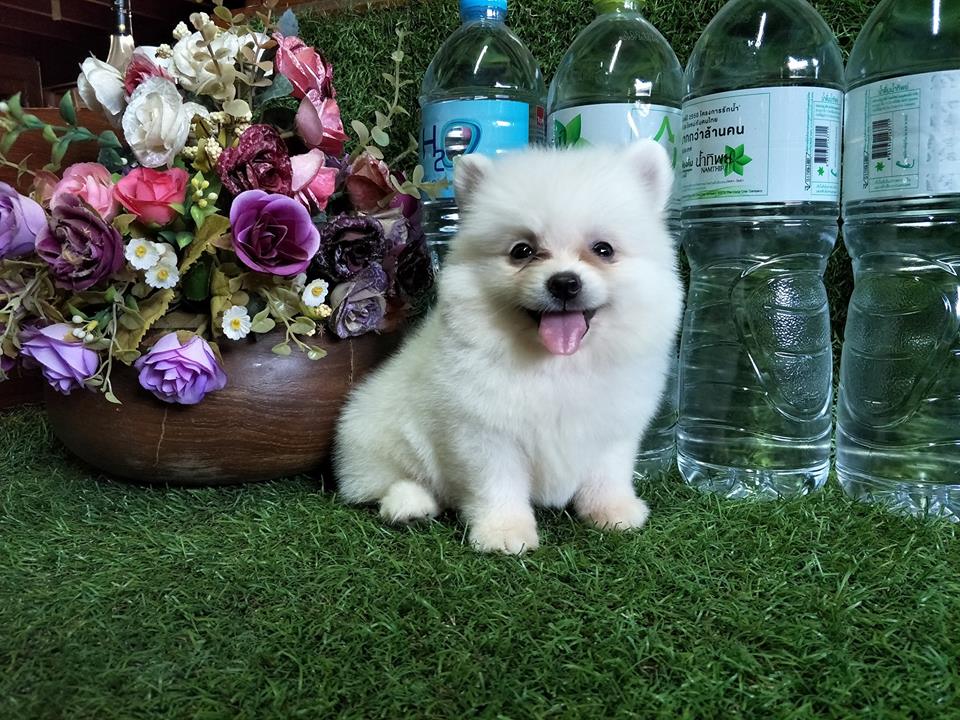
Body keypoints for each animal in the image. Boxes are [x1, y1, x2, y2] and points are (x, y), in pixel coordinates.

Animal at [334, 141, 683, 554]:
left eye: (603, 249)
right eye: (522, 251)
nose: (564, 283)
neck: (557, 366)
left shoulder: (613, 430)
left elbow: (607, 475)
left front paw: (613, 511)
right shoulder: (485, 435)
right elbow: (497, 486)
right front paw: (503, 532)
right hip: (377, 434)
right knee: (379, 482)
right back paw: (409, 502)